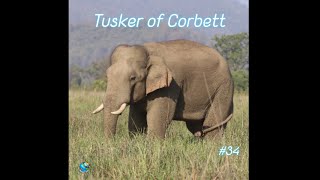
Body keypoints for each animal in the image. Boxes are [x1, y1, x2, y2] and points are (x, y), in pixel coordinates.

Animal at [91, 39, 234, 139]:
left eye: (133, 78)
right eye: (107, 75)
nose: (110, 143)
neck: (148, 51)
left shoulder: (171, 85)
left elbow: (158, 116)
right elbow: (136, 118)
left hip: (223, 89)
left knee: (213, 126)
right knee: (197, 126)